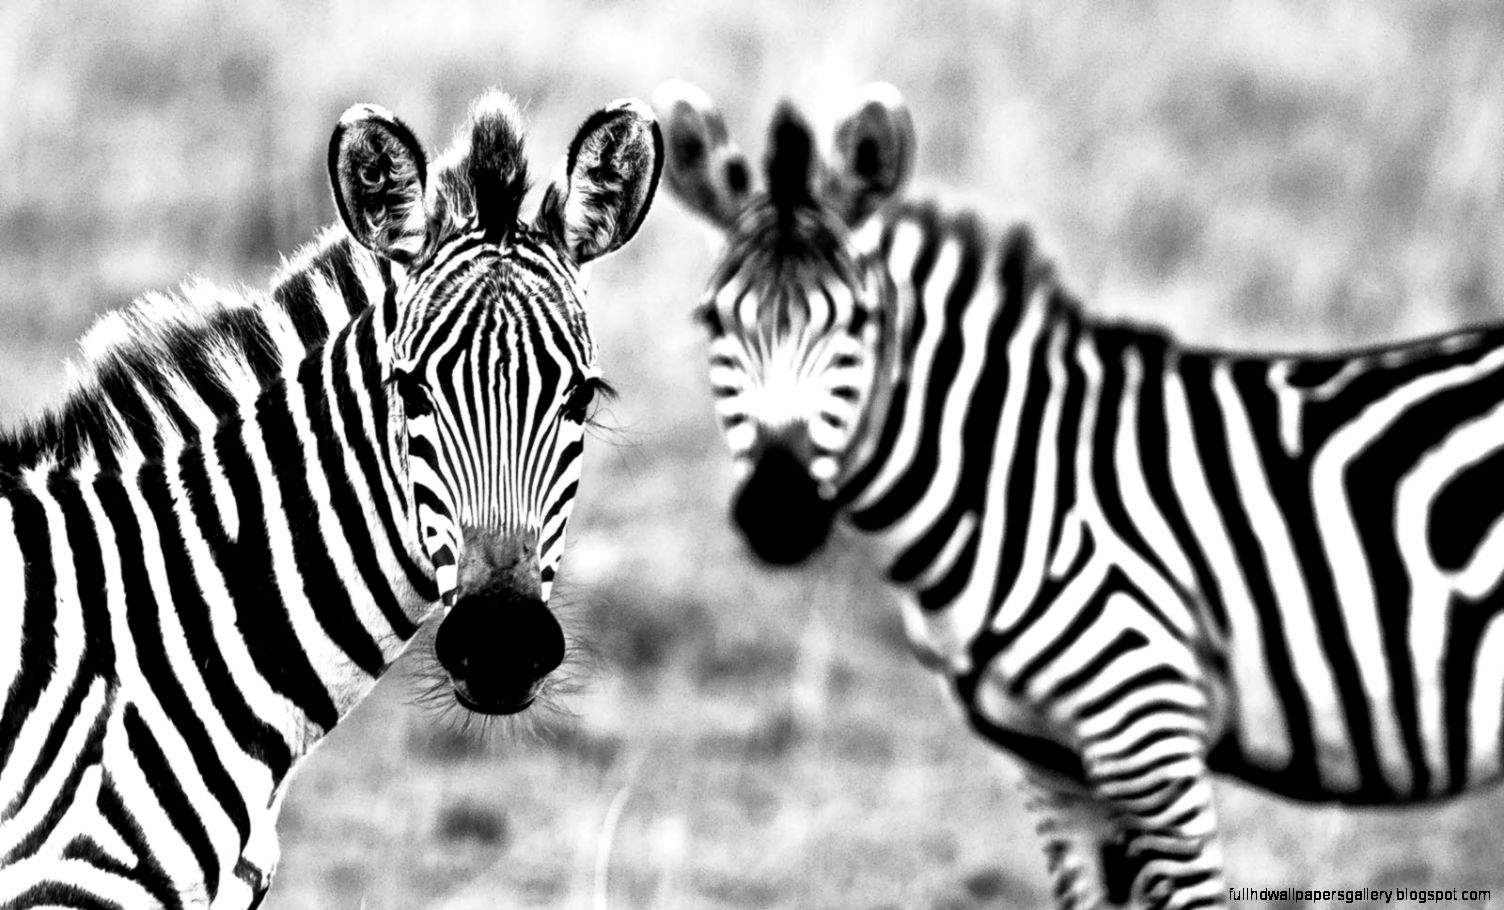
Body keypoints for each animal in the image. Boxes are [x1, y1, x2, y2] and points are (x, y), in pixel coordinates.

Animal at [653, 78, 1504, 909]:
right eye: (711, 321)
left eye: (862, 322)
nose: (778, 513)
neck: (1012, 481)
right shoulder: (1051, 766)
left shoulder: (1147, 733)